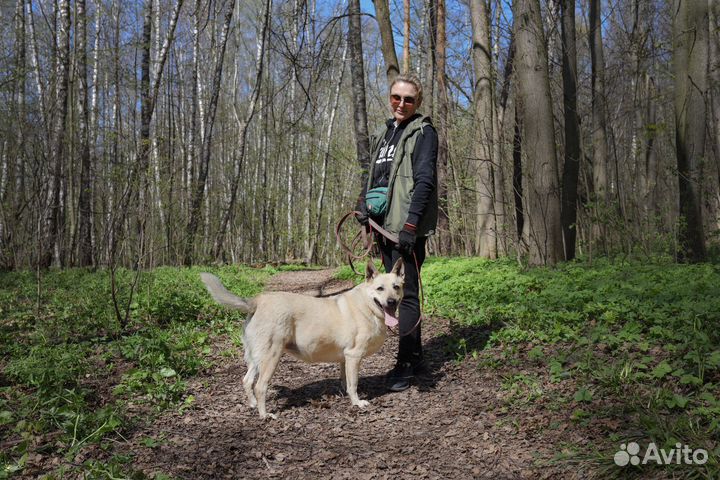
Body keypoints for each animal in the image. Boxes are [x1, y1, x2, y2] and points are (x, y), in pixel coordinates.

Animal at [201, 256, 404, 418]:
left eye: (396, 287)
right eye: (380, 288)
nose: (392, 302)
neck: (367, 306)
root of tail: (257, 301)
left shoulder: (344, 358)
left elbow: (345, 380)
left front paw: (344, 394)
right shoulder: (353, 356)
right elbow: (353, 383)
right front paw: (357, 402)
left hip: (256, 358)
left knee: (247, 380)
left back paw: (252, 405)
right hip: (271, 357)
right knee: (259, 387)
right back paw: (264, 415)